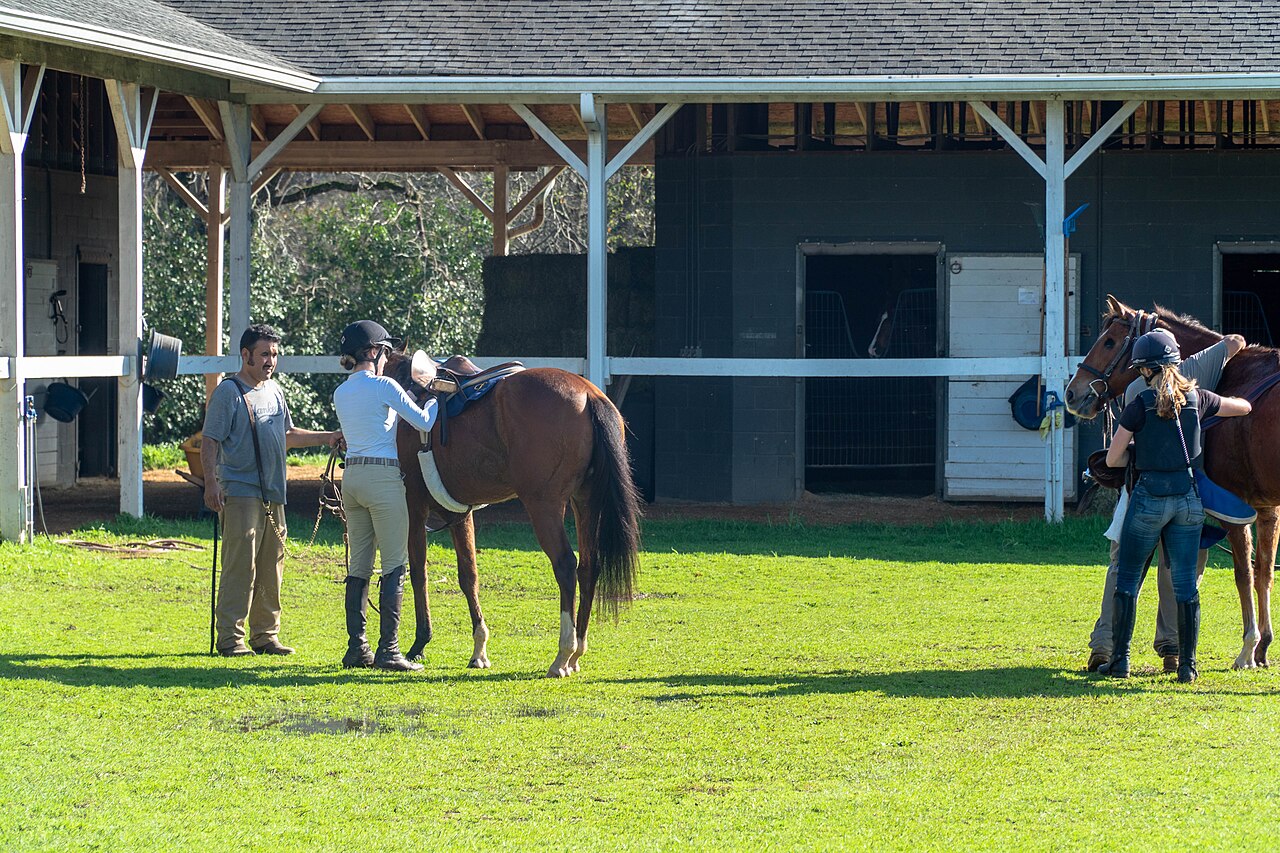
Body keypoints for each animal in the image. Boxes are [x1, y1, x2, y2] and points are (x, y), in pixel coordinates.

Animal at [382, 350, 642, 677]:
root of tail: (589, 394)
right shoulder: (460, 514)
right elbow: (469, 576)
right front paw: (479, 649)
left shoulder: (414, 506)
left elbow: (418, 573)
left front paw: (420, 643)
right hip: (583, 501)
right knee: (588, 566)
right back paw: (577, 651)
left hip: (543, 504)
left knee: (565, 565)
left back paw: (562, 655)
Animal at [1065, 294, 1280, 669]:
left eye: (1109, 342)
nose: (1072, 394)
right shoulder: (1267, 509)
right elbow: (1263, 573)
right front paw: (1263, 646)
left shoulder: (1236, 508)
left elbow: (1244, 574)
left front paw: (1247, 650)